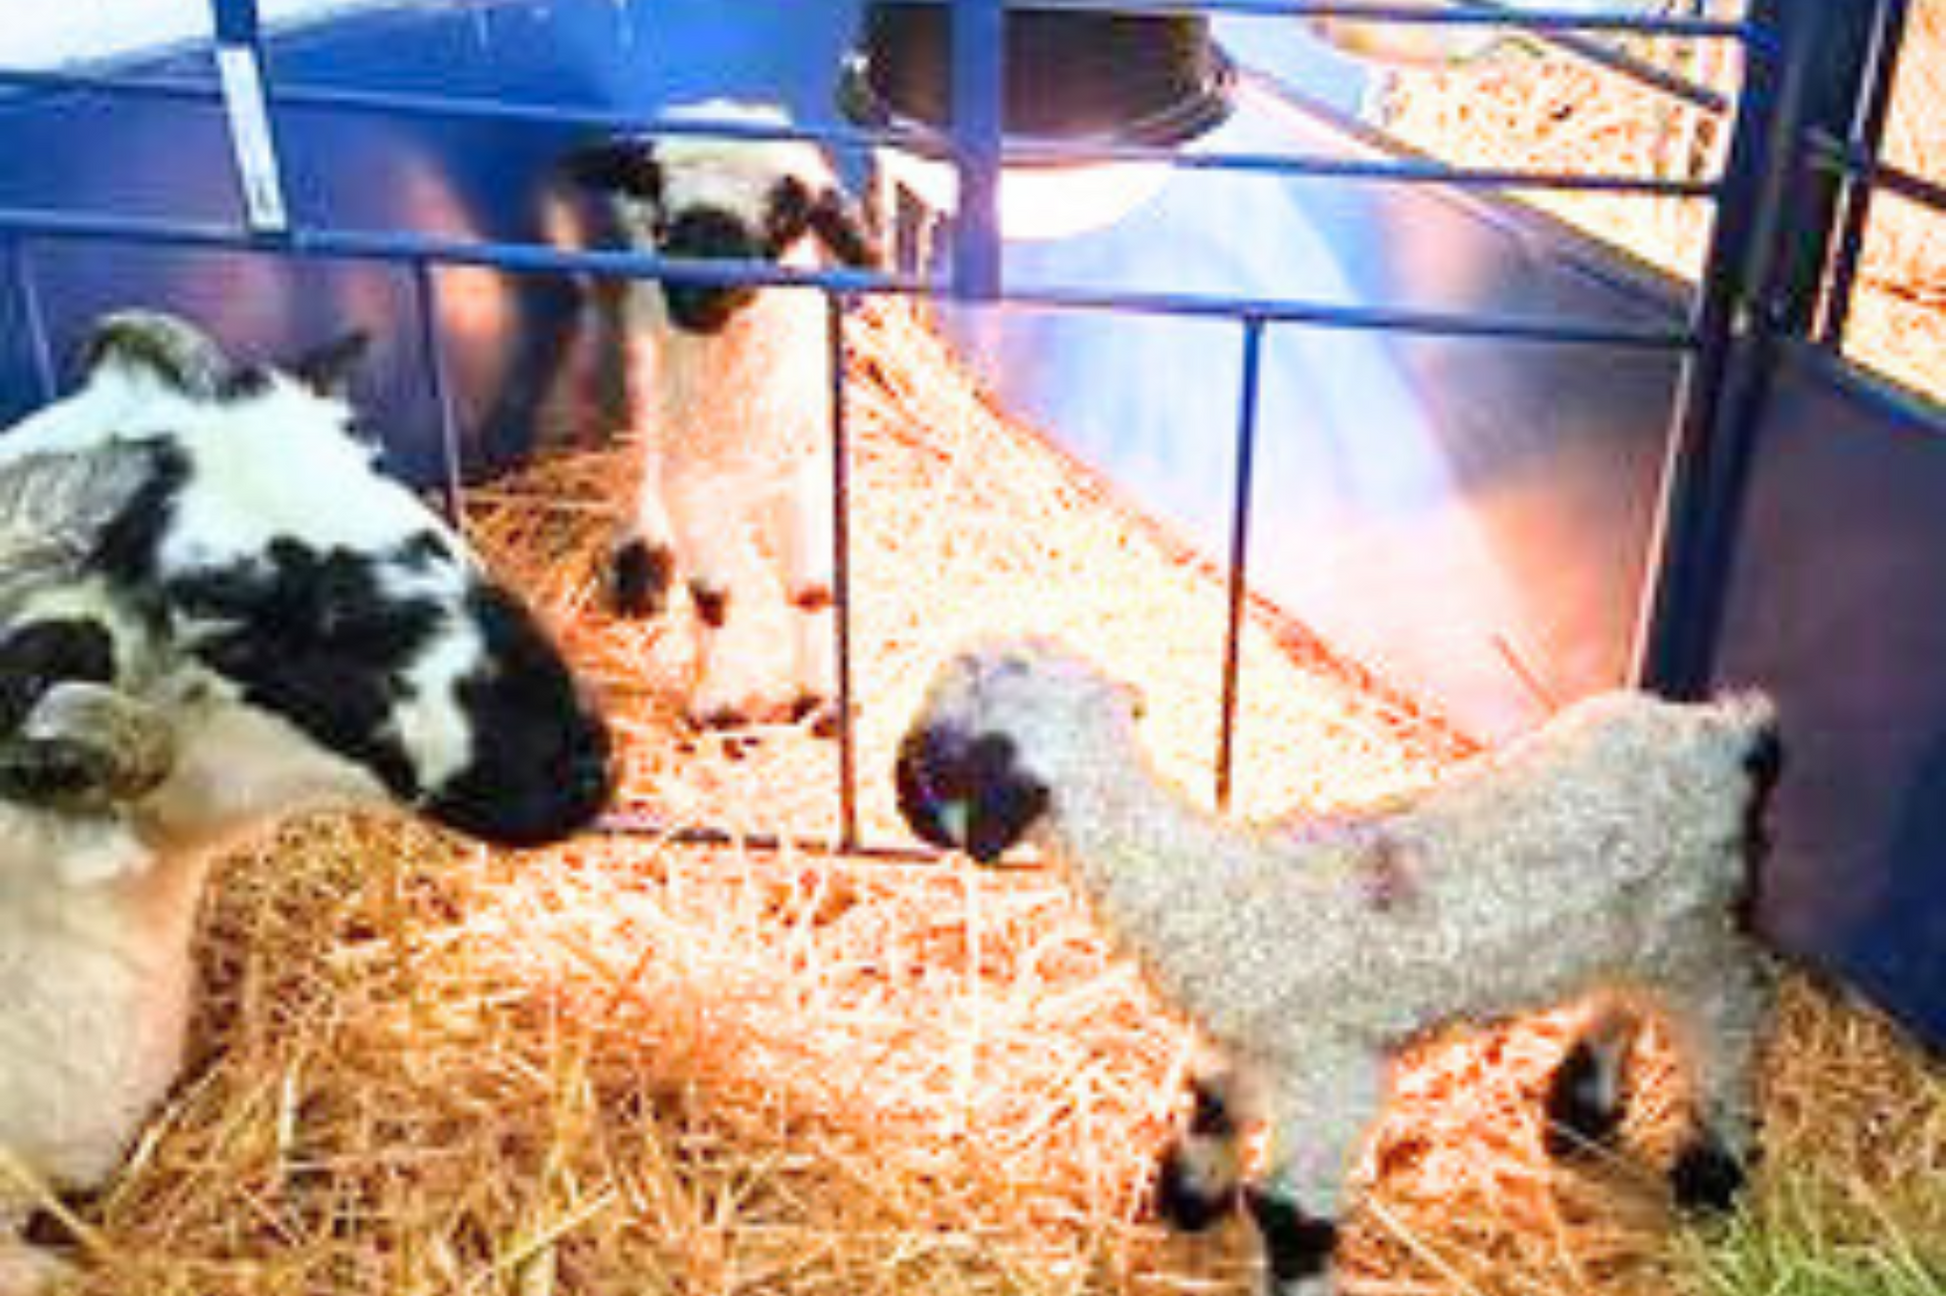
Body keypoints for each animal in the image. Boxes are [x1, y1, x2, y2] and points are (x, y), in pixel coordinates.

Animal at [565, 98, 879, 732]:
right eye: (661, 198)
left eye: (788, 215)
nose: (696, 292)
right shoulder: (698, 484)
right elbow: (714, 598)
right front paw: (722, 705)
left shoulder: (805, 475)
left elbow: (813, 590)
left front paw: (823, 698)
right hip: (643, 333)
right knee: (649, 427)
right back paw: (645, 558)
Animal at [894, 636, 1781, 1295]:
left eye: (934, 763)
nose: (901, 801)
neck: (1223, 894)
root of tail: (1726, 735)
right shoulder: (1244, 1039)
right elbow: (1212, 1108)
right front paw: (1188, 1200)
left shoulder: (1333, 1075)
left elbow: (1292, 1214)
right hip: (1629, 927)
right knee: (1621, 999)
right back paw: (1582, 1109)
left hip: (1689, 926)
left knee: (1726, 1019)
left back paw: (1712, 1166)